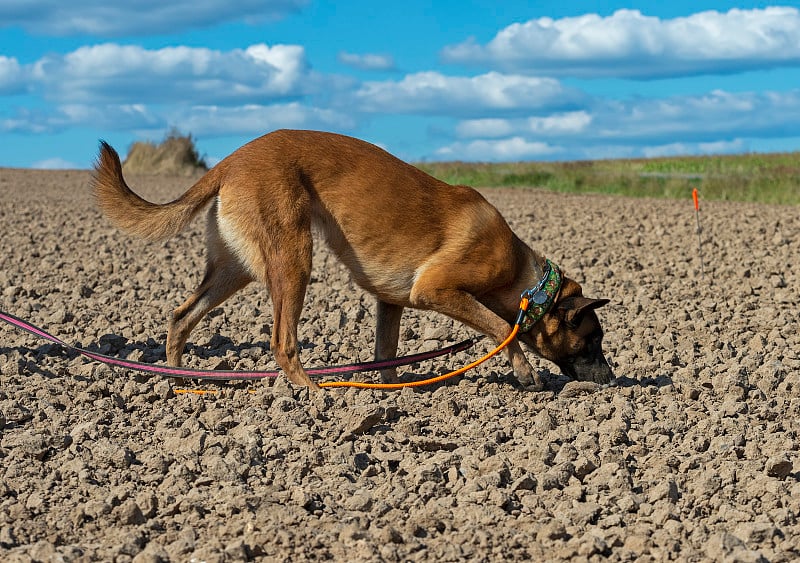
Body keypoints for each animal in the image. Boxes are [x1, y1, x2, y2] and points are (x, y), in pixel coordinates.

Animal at [90, 130, 612, 390]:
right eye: (593, 341)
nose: (610, 380)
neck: (529, 285)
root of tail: (231, 160)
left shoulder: (392, 302)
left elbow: (386, 352)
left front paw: (397, 389)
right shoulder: (437, 289)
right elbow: (502, 328)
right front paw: (525, 372)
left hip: (233, 269)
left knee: (181, 317)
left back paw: (179, 380)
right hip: (293, 262)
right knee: (282, 341)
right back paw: (311, 391)